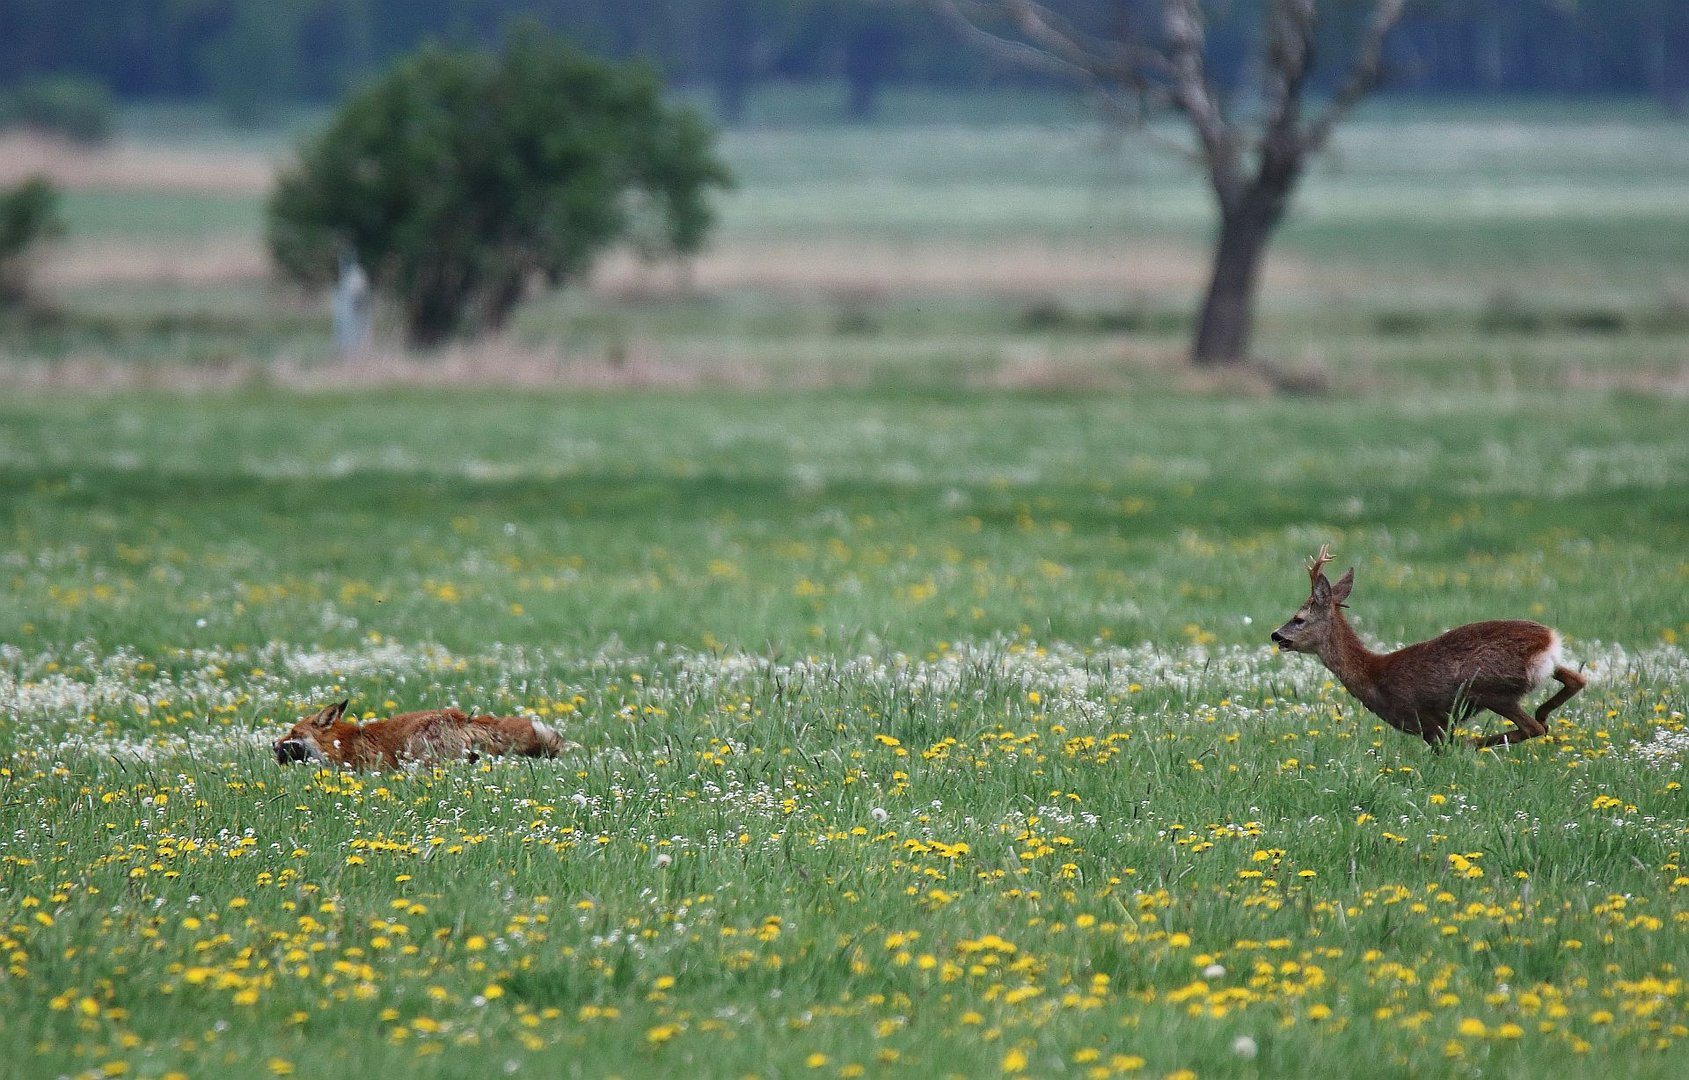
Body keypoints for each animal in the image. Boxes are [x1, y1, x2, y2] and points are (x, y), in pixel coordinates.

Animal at [1276, 544, 1580, 747]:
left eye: (1298, 619)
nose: (1275, 635)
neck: (1374, 676)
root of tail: (1548, 641)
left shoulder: (1426, 719)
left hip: (1489, 687)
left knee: (1531, 727)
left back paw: (1480, 742)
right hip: (1536, 673)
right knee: (1576, 679)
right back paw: (1543, 714)